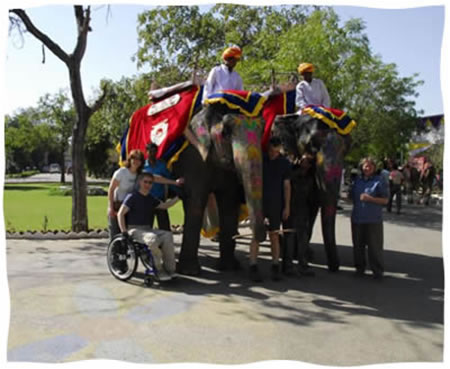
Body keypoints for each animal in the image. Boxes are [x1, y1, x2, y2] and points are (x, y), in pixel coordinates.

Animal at [270, 106, 356, 270]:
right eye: (312, 145)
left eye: (347, 148)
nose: (335, 267)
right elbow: (293, 204)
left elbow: (313, 207)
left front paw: (305, 255)